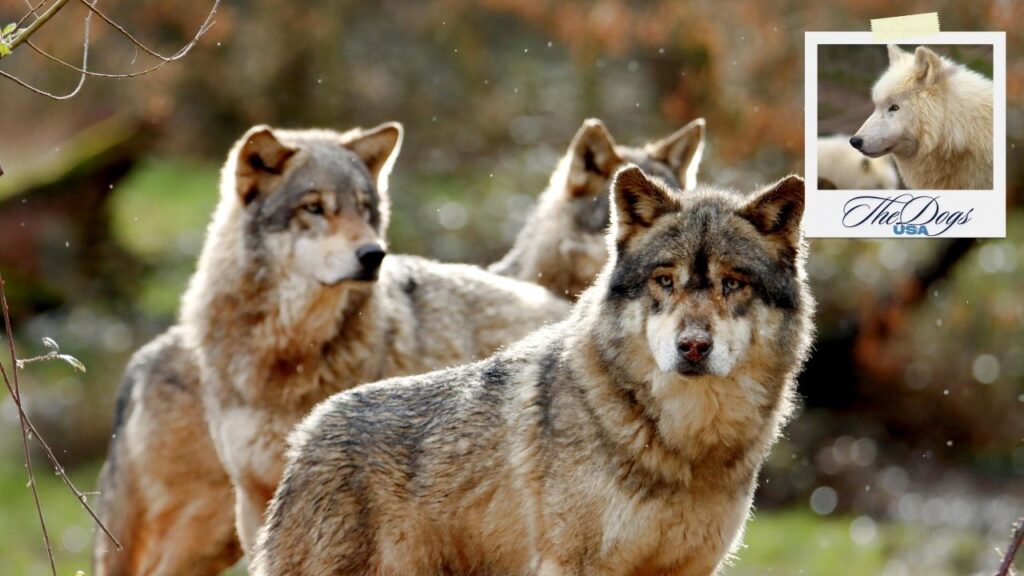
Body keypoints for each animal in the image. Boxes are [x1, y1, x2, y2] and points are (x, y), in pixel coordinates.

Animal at [93, 123, 572, 574]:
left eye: (365, 209)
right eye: (314, 208)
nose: (374, 254)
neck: (287, 357)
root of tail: (142, 361)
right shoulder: (256, 499)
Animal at [251, 166, 815, 576]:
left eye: (732, 284)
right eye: (665, 280)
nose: (693, 347)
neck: (684, 446)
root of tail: (308, 430)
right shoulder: (573, 565)